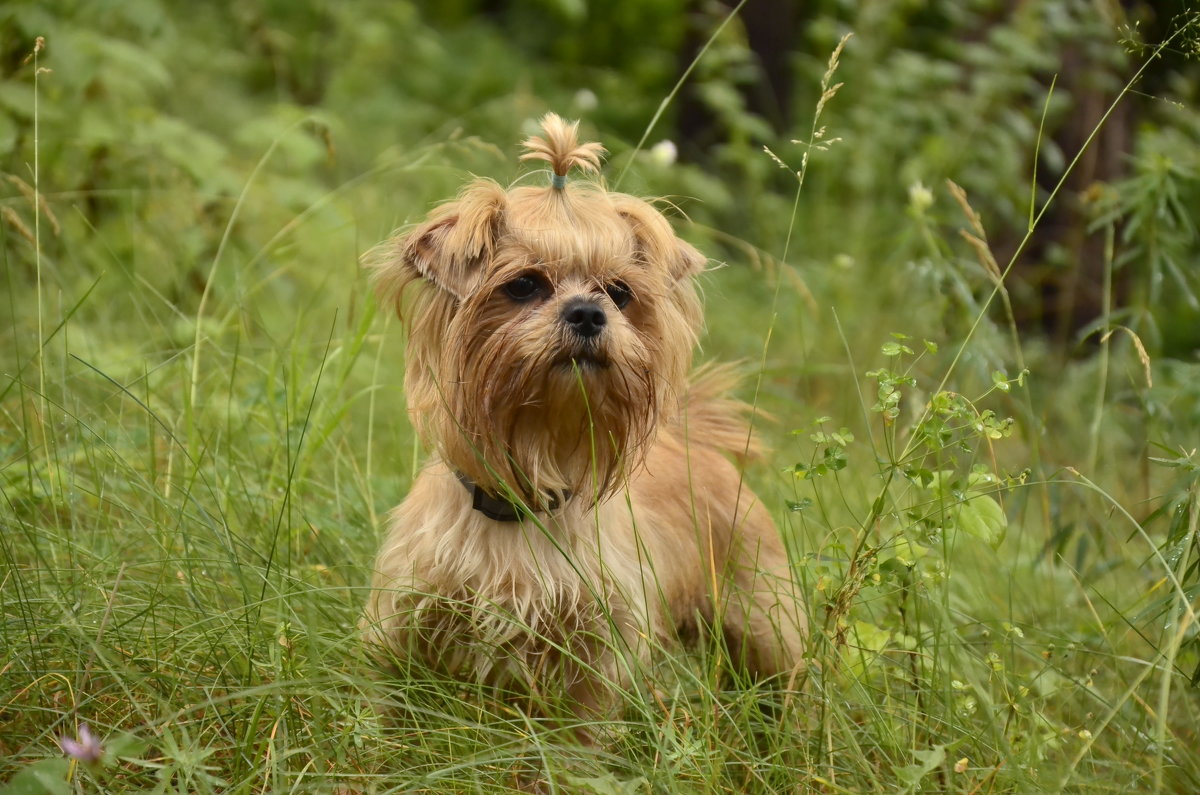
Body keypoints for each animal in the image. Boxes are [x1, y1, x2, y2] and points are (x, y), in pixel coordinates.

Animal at [357, 112, 806, 734]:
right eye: (523, 284)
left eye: (619, 293)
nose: (589, 313)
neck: (525, 498)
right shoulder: (404, 626)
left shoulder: (596, 654)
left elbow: (580, 736)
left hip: (763, 619)